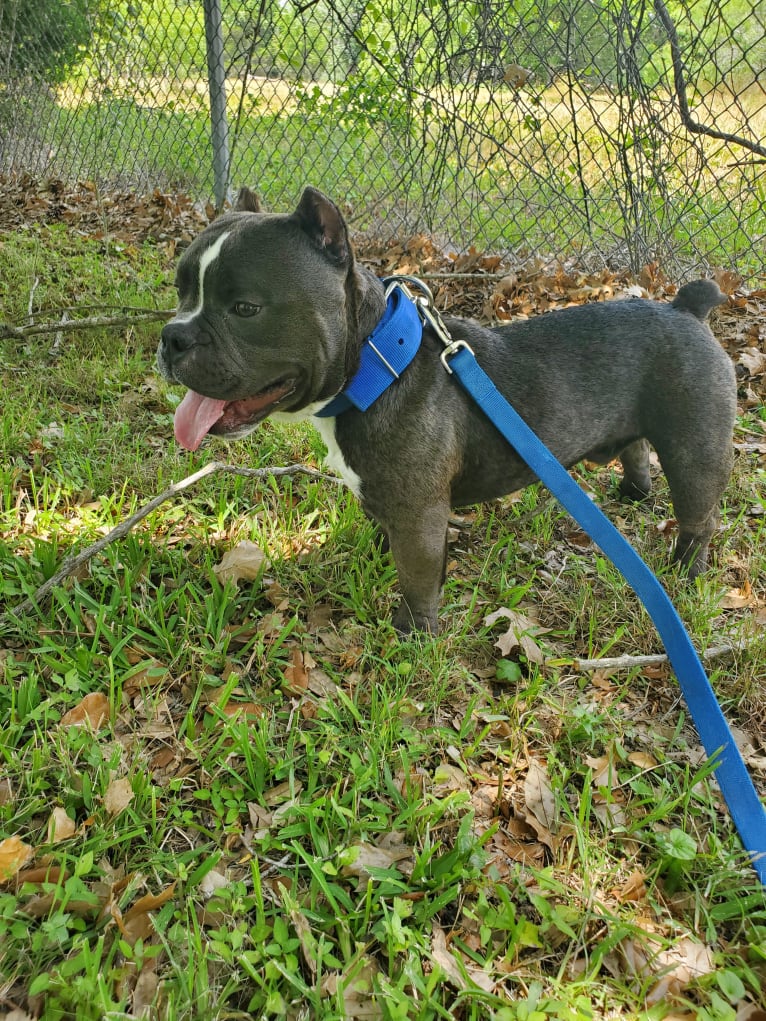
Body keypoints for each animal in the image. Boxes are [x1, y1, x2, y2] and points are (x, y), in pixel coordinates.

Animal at [156, 183, 739, 628]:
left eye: (244, 308)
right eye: (181, 290)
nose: (171, 336)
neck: (378, 365)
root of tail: (687, 308)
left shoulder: (419, 515)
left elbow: (416, 578)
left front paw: (412, 634)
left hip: (695, 448)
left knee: (699, 515)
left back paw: (686, 570)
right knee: (637, 449)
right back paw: (634, 492)